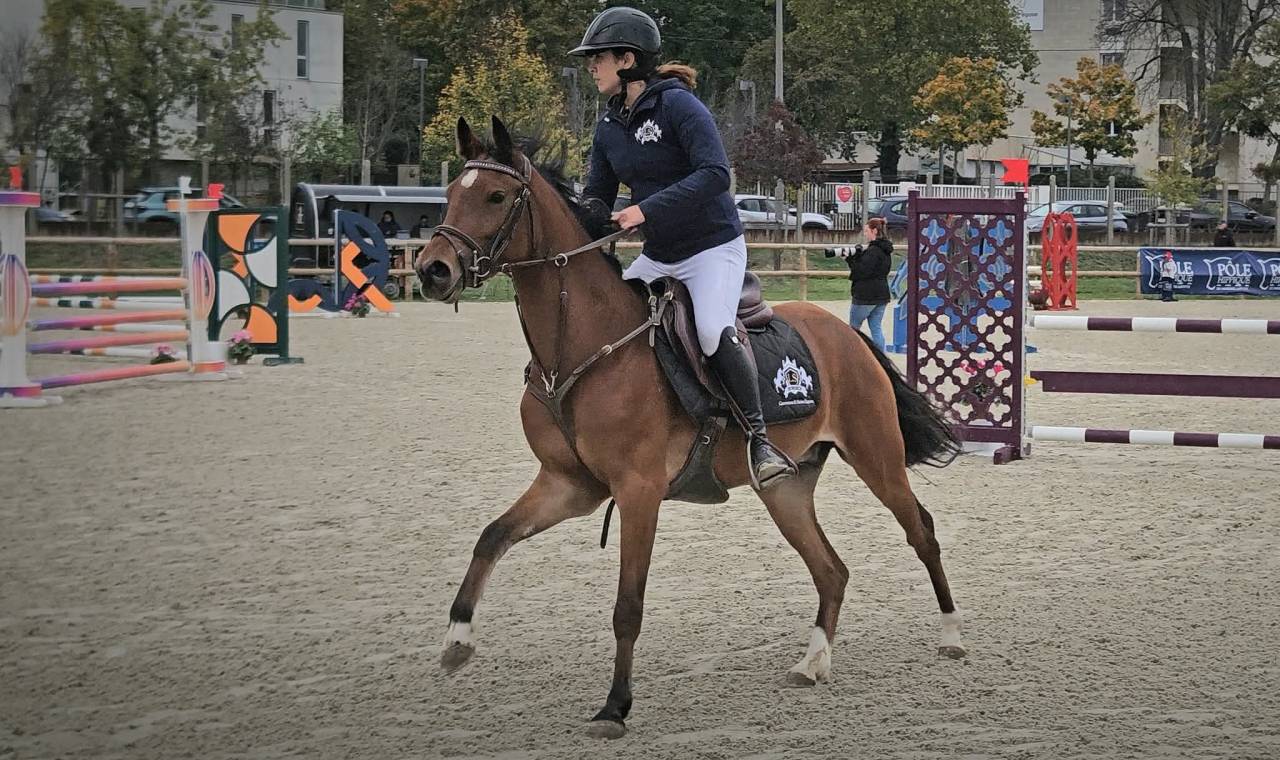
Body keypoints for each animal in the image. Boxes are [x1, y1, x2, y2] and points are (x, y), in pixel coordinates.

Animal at [414, 115, 965, 739]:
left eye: (496, 196)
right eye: (452, 192)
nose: (433, 270)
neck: (578, 350)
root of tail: (847, 334)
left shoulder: (638, 492)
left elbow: (627, 606)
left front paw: (615, 706)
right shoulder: (568, 485)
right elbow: (491, 537)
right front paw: (457, 641)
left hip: (877, 458)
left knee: (921, 532)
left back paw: (951, 636)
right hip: (787, 490)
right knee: (832, 570)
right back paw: (813, 661)